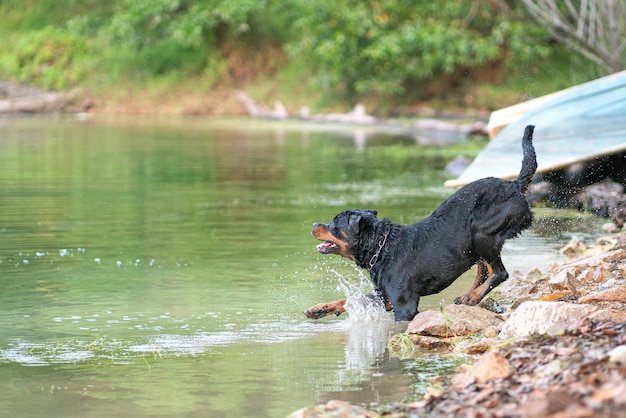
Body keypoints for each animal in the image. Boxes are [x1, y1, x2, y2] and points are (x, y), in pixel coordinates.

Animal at [304, 124, 536, 320]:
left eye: (335, 223)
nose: (314, 225)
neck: (382, 247)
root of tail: (515, 185)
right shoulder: (385, 297)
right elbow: (352, 299)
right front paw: (319, 309)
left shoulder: (403, 305)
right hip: (473, 244)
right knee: (485, 269)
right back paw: (468, 296)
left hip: (481, 231)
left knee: (500, 272)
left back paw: (474, 296)